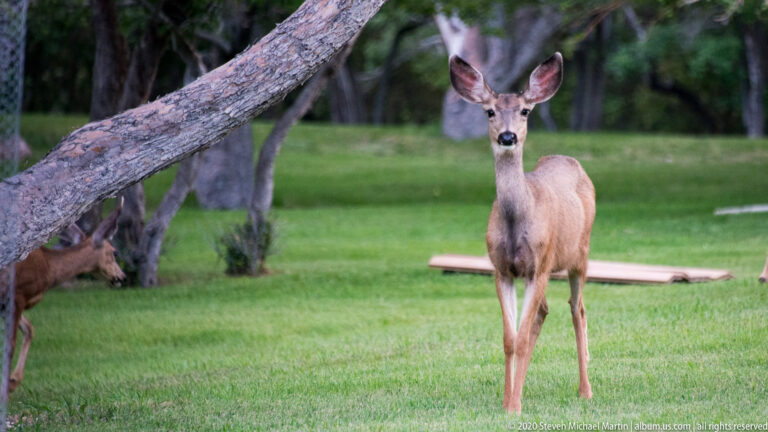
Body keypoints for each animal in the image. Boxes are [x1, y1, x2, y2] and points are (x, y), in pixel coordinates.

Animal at [8, 200, 125, 393]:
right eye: (114, 252)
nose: (122, 277)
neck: (49, 267)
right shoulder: (18, 294)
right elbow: (12, 342)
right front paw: (10, 383)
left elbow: (29, 329)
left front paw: (13, 380)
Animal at [449, 52, 595, 414]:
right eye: (489, 111)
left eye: (525, 111)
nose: (507, 137)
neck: (517, 218)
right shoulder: (502, 269)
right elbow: (510, 338)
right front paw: (507, 401)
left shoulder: (538, 266)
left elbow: (523, 335)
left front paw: (514, 406)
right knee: (547, 312)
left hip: (579, 256)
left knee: (577, 309)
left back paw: (585, 389)